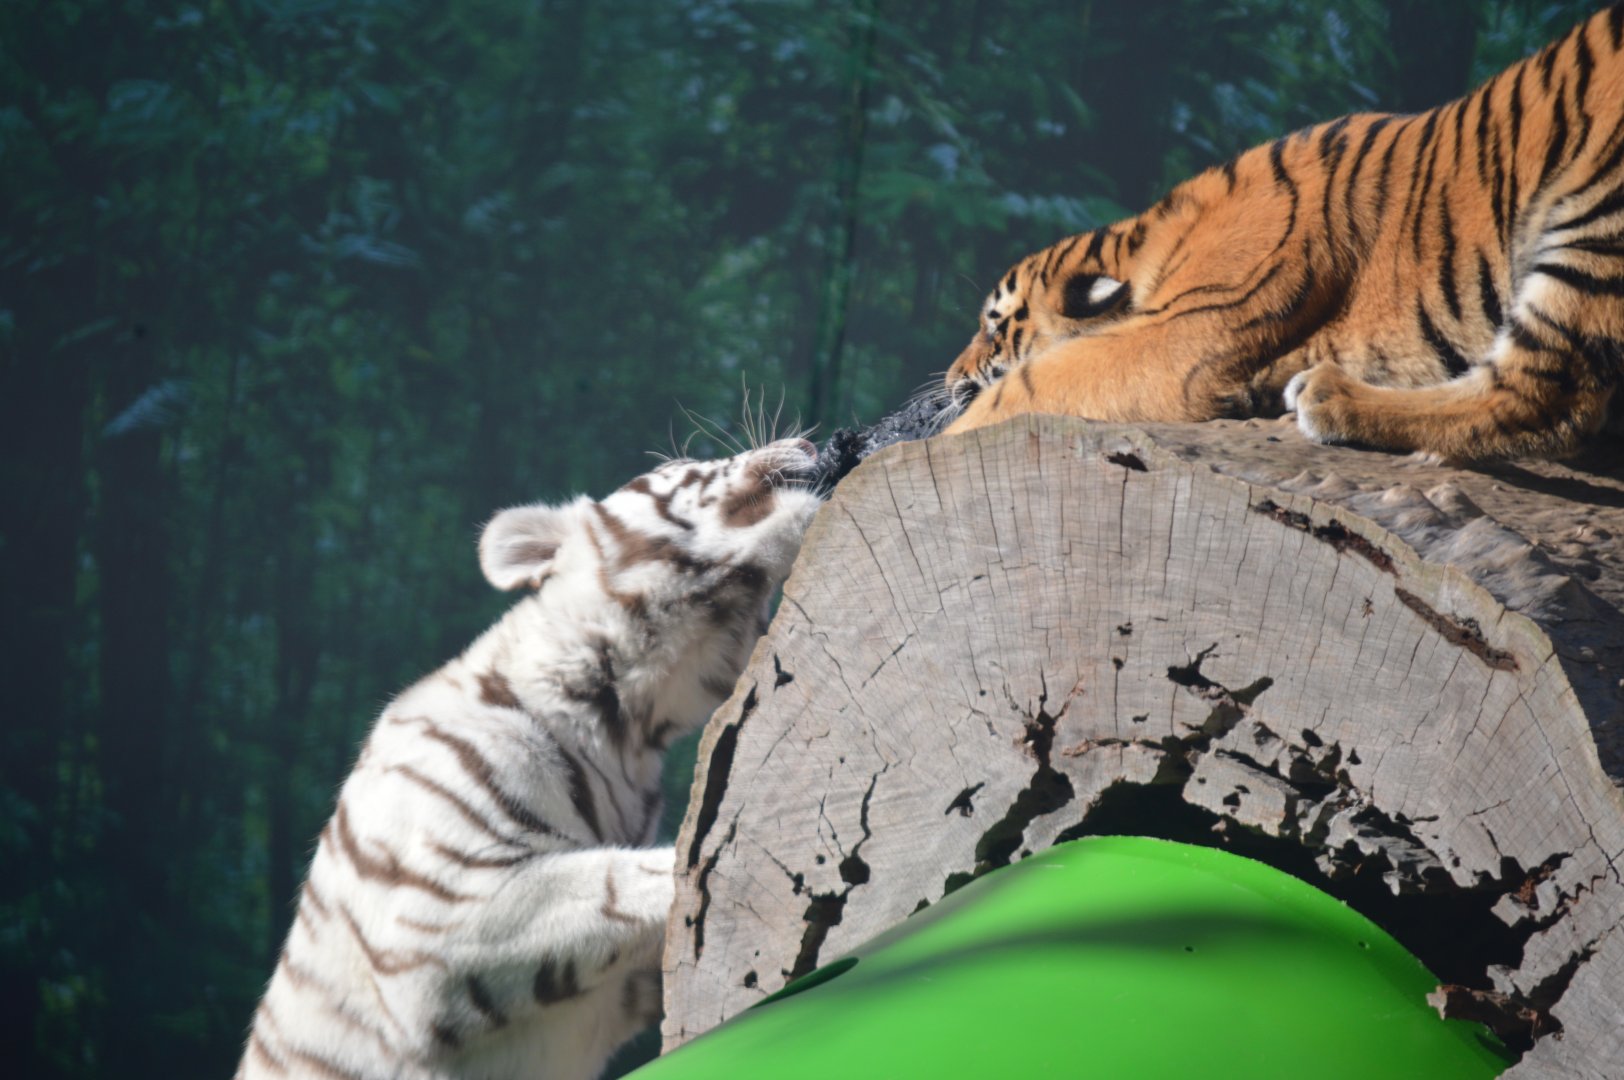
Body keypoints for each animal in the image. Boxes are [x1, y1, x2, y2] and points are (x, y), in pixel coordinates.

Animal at [943, 4, 1624, 463]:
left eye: (994, 327)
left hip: (1593, 217)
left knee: (1542, 395)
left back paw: (1331, 397)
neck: (1154, 239)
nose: (949, 381)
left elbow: (1029, 384)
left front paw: (945, 434)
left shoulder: (1183, 335)